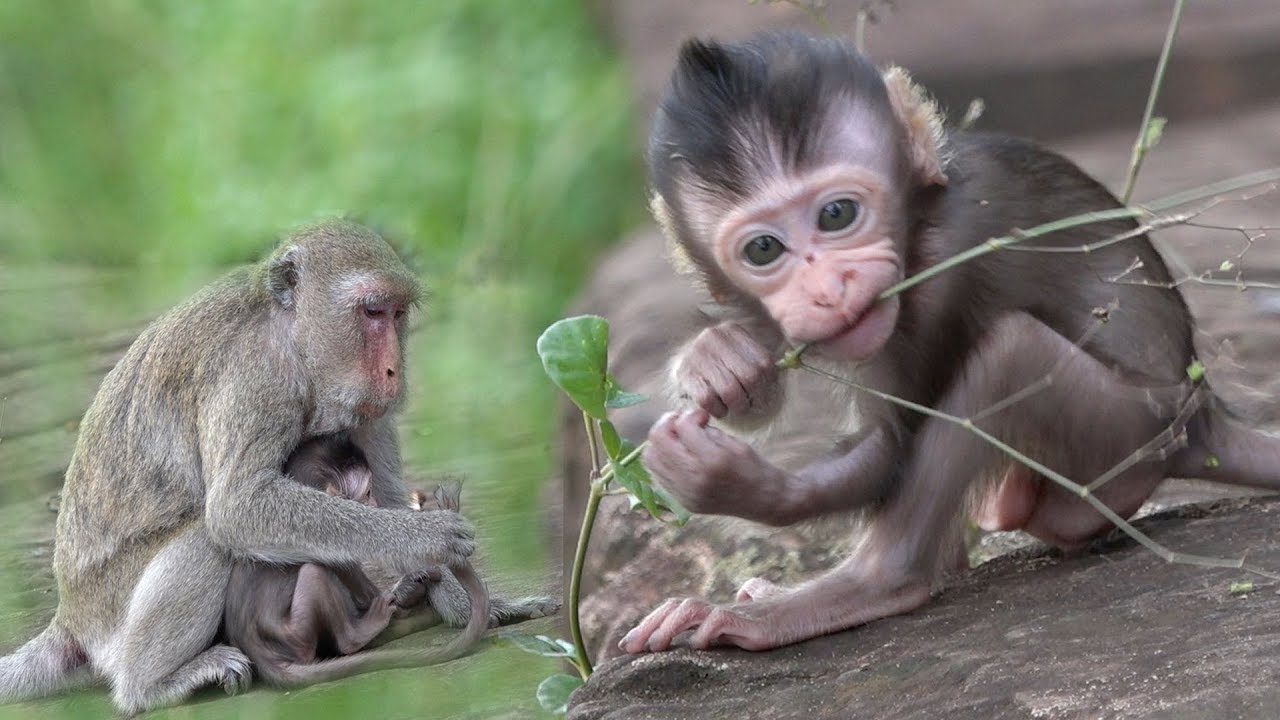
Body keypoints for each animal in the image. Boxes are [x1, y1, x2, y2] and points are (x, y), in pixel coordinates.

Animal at [223, 435, 491, 687]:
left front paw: (411, 587)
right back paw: (357, 636)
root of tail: (260, 655)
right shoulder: (330, 541)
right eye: (368, 492)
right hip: (294, 636)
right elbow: (360, 589)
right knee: (315, 573)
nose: (374, 504)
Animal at [620, 31, 1280, 655]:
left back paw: (866, 585)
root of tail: (1204, 415)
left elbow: (894, 443)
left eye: (837, 215)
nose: (830, 288)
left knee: (1010, 353)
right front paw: (718, 360)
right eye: (763, 249)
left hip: (1133, 427)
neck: (919, 218)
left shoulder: (943, 270)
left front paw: (726, 481)